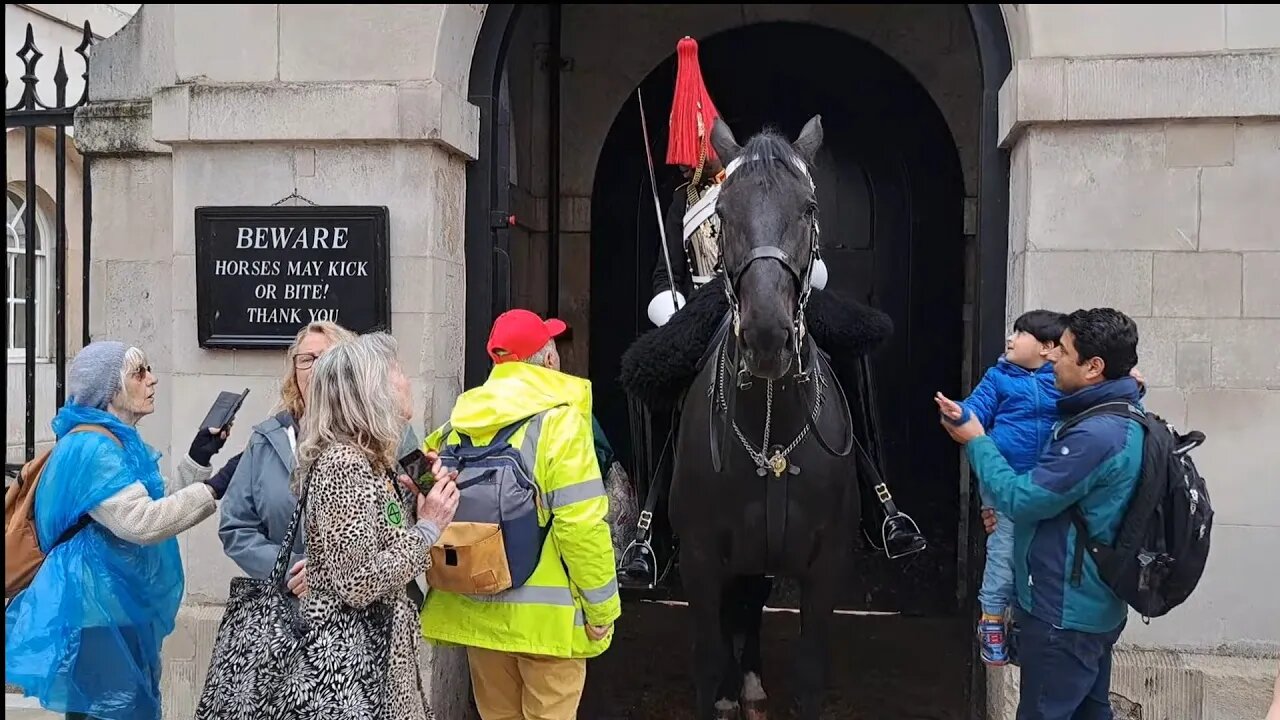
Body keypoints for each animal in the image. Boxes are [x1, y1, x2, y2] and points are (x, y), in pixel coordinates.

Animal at [660, 114, 880, 712]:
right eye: (723, 212)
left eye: (808, 206)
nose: (766, 336)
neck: (770, 432)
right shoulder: (701, 560)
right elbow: (709, 659)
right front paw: (722, 692)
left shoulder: (826, 567)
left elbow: (809, 675)